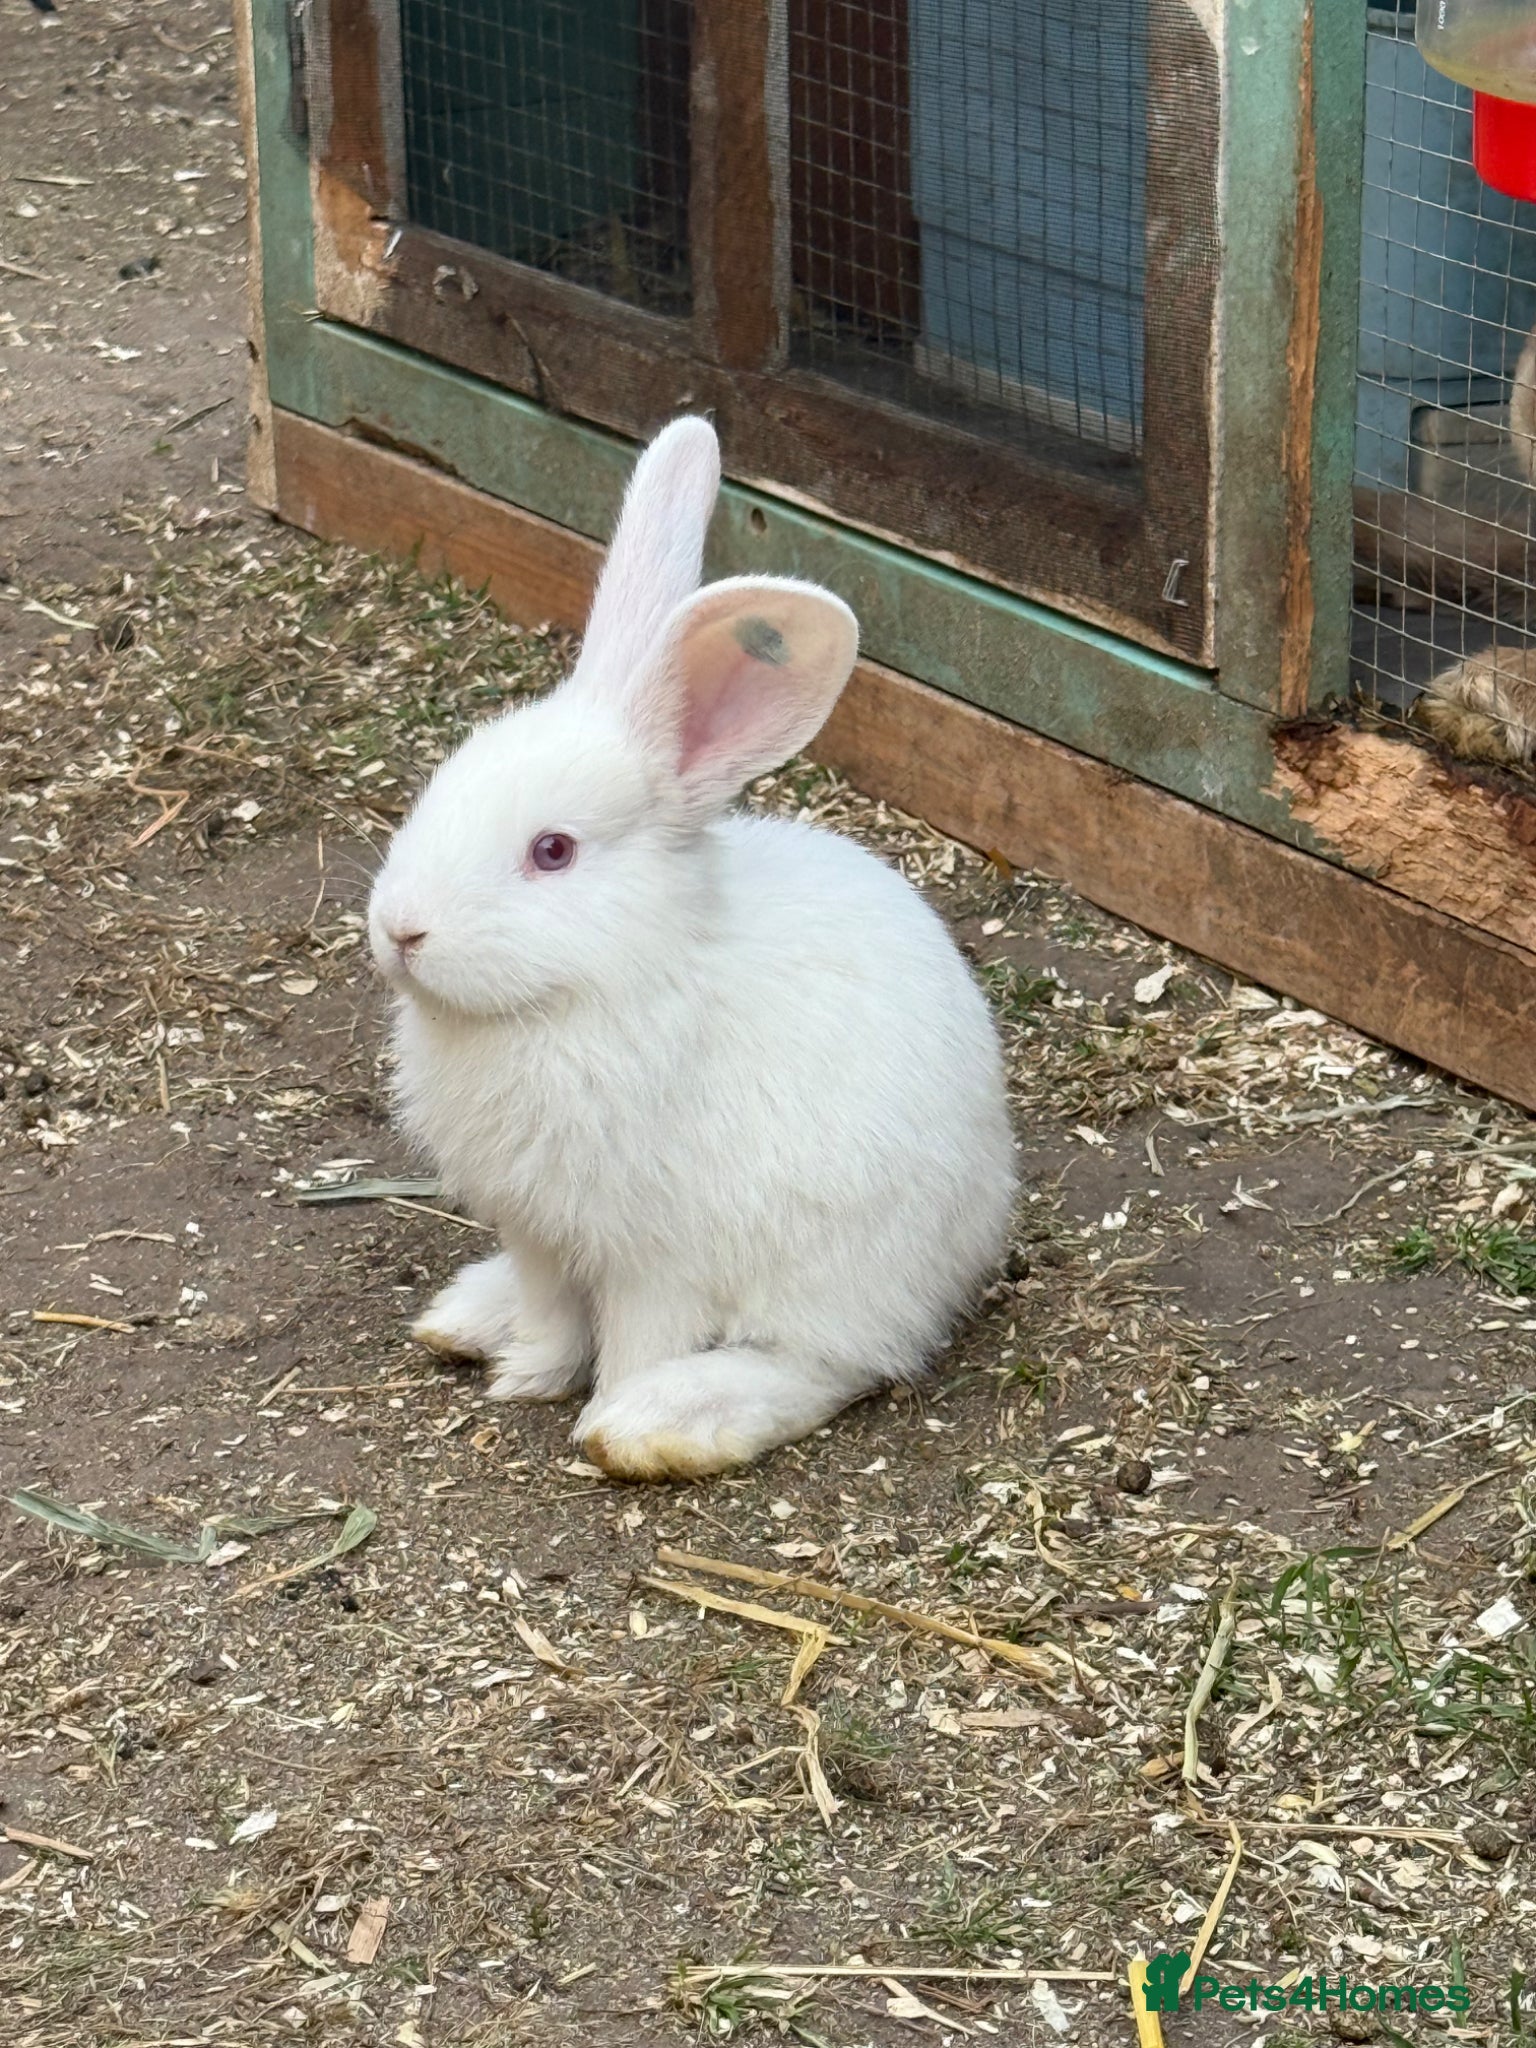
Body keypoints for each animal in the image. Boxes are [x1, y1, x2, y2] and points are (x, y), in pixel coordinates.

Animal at [366, 415, 1016, 1480]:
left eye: (553, 851)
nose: (400, 930)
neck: (593, 990)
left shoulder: (657, 1258)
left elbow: (640, 1337)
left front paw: (603, 1418)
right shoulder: (539, 1232)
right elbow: (553, 1316)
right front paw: (528, 1376)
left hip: (839, 1269)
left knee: (830, 1363)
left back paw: (669, 1422)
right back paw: (469, 1318)